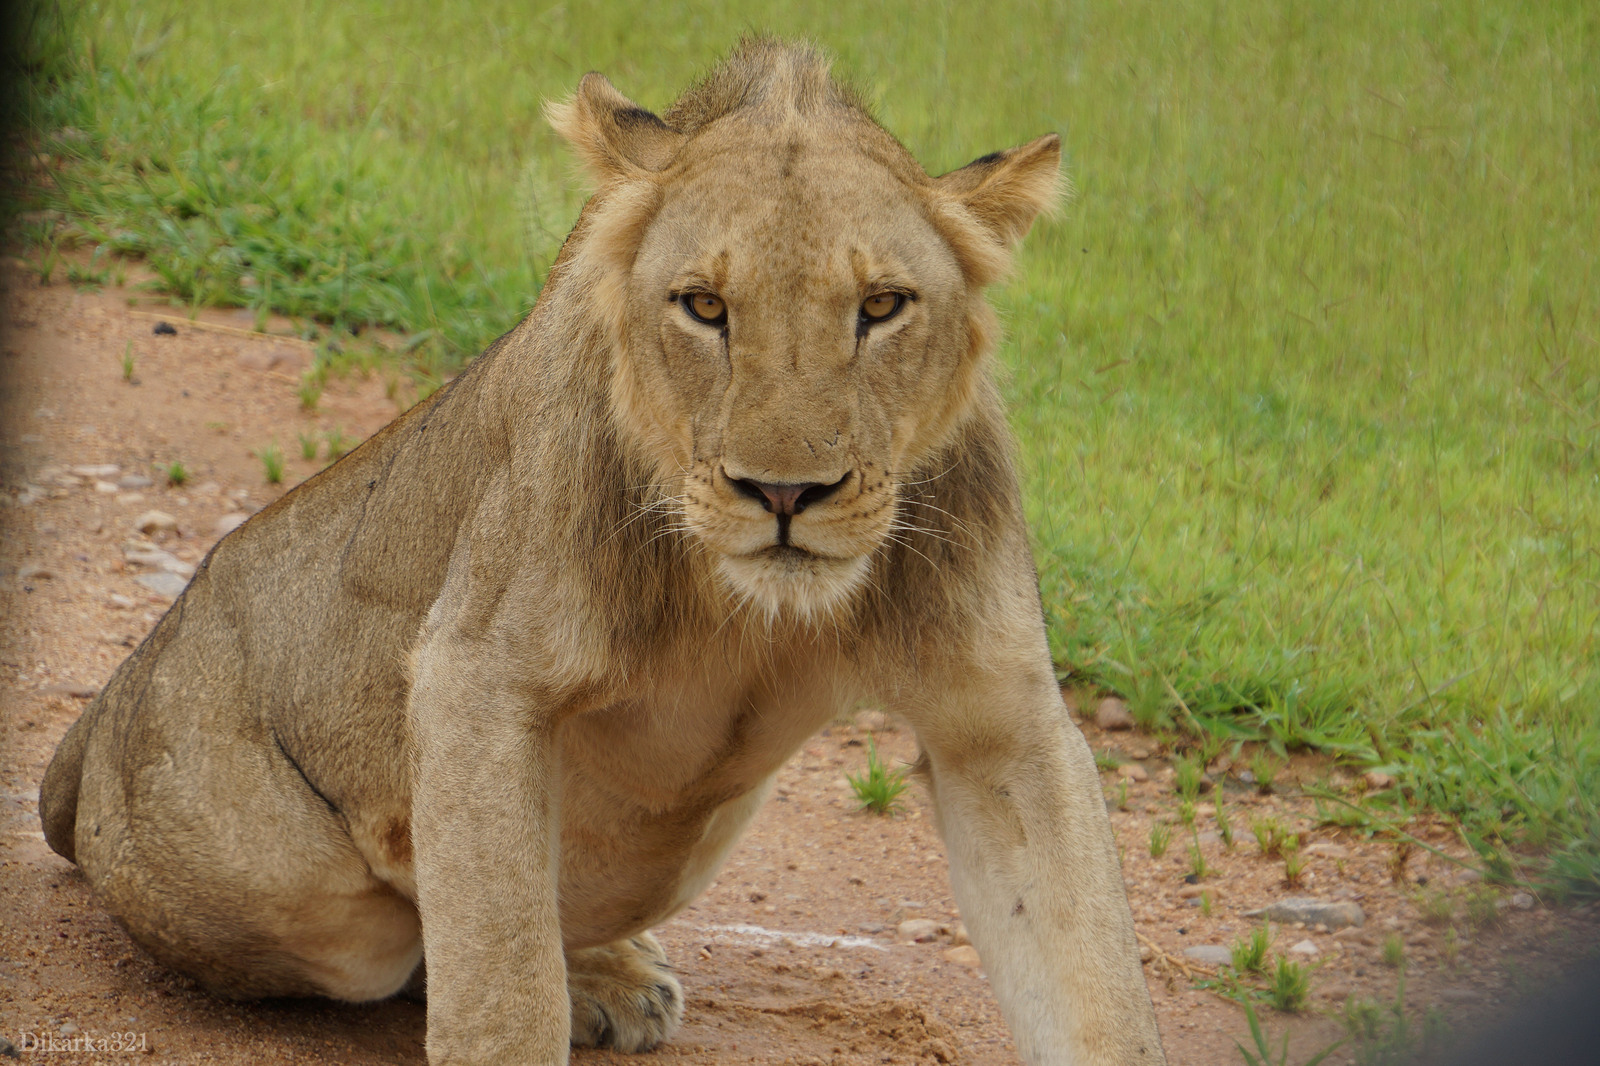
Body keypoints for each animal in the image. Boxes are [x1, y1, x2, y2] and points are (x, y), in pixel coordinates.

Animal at [37, 39, 1164, 1062]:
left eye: (881, 307)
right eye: (705, 307)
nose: (785, 493)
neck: (751, 606)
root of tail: (106, 707)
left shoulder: (1003, 726)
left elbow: (1096, 981)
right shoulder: (480, 673)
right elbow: (500, 982)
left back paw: (614, 979)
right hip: (282, 876)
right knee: (410, 942)